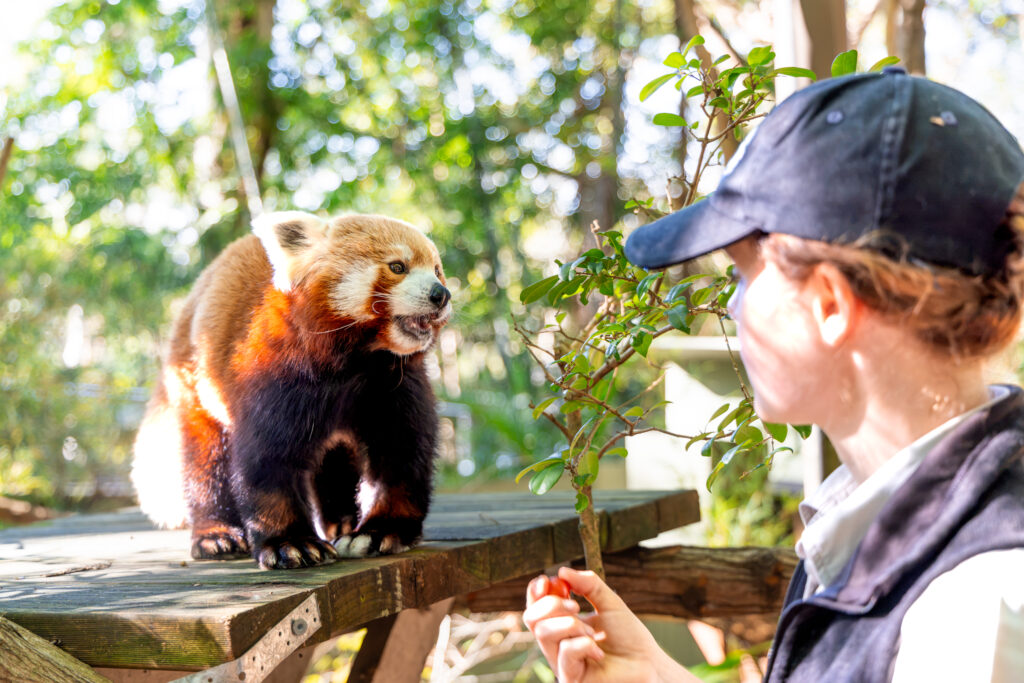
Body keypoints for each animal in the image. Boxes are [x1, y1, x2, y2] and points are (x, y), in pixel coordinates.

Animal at [131, 212, 451, 569]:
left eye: (437, 270)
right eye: (397, 267)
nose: (441, 294)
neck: (358, 362)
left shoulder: (393, 385)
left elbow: (401, 452)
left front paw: (379, 532)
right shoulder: (276, 374)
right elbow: (267, 460)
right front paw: (291, 542)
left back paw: (340, 522)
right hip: (194, 382)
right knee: (205, 460)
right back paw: (216, 535)